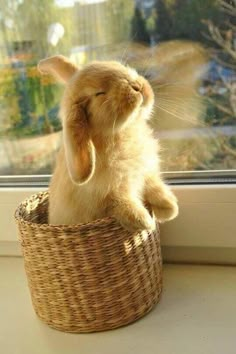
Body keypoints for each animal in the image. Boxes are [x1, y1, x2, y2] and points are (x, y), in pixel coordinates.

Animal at [37, 55, 178, 231]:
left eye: (119, 66)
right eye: (99, 93)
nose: (137, 86)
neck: (121, 132)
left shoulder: (145, 172)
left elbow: (155, 188)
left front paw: (170, 208)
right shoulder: (109, 195)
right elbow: (121, 204)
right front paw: (144, 222)